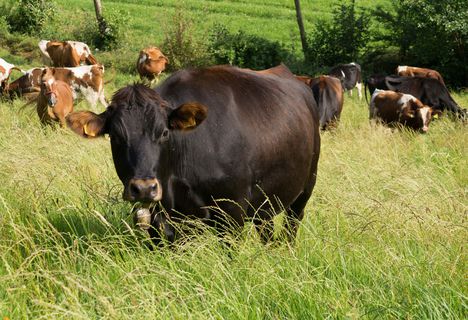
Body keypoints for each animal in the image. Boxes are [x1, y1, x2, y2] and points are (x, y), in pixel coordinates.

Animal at [66, 65, 322, 245]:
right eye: (116, 136)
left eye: (164, 132)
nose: (144, 188)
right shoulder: (164, 221)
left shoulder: (232, 214)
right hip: (267, 202)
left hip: (304, 191)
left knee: (291, 226)